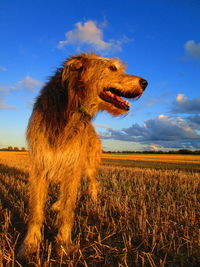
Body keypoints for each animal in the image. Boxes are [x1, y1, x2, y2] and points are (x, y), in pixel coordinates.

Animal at [18, 52, 147, 258]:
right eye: (112, 68)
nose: (145, 82)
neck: (69, 110)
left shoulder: (72, 166)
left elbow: (68, 211)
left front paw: (63, 243)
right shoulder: (39, 166)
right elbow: (36, 210)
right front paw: (30, 244)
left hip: (87, 165)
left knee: (93, 183)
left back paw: (92, 201)